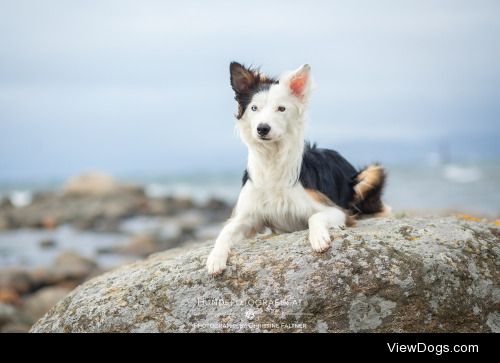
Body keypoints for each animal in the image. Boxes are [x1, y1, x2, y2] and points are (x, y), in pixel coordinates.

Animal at [205, 63, 388, 276]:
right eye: (254, 108)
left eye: (281, 108)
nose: (262, 128)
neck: (272, 158)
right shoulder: (246, 217)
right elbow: (224, 231)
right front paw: (215, 257)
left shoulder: (337, 210)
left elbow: (315, 216)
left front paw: (318, 238)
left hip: (371, 173)